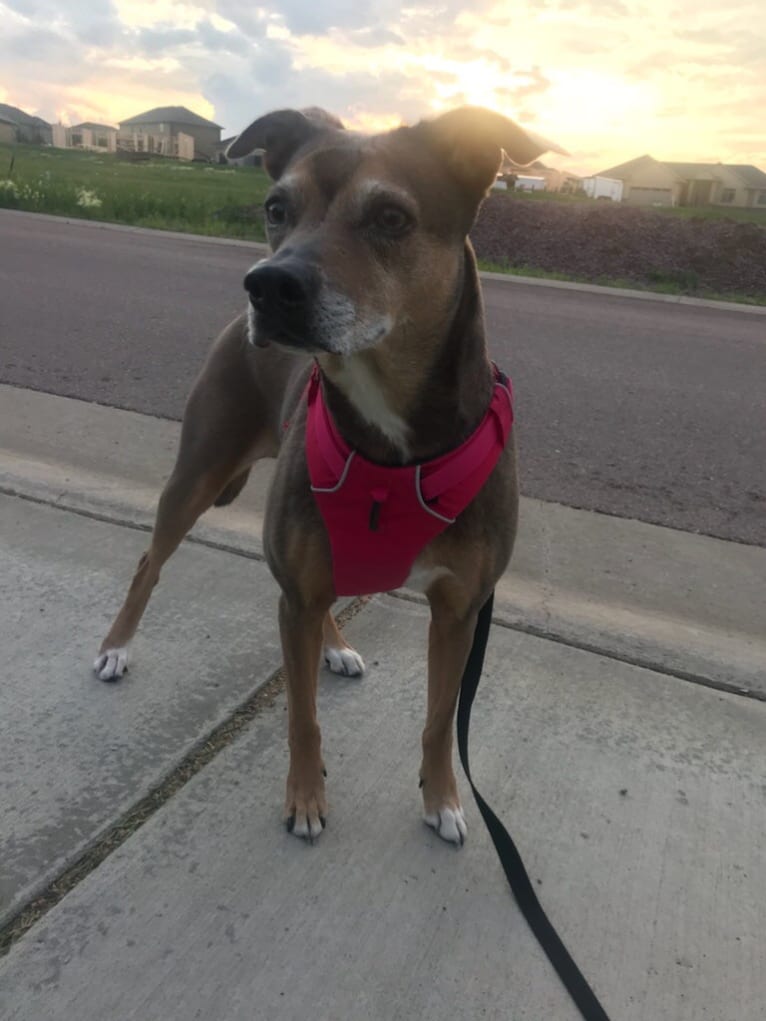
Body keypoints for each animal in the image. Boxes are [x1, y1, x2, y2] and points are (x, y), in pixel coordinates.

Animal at [96, 107, 563, 845]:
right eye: (275, 208)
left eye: (391, 217)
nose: (267, 284)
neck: (392, 443)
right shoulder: (300, 594)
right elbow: (301, 715)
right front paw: (306, 798)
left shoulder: (460, 608)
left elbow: (439, 719)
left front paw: (444, 798)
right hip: (198, 473)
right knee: (152, 563)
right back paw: (117, 646)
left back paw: (334, 647)